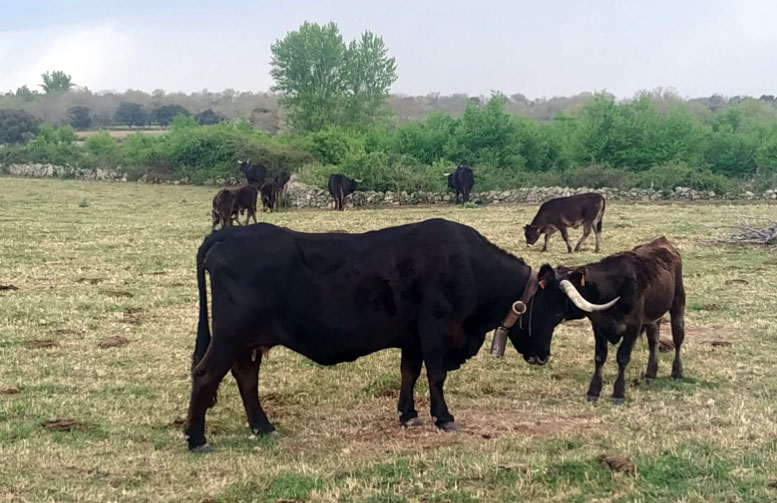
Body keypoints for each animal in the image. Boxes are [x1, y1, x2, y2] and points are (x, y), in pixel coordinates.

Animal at [184, 218, 540, 451]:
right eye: (550, 304)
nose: (543, 356)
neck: (469, 263)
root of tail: (231, 233)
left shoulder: (412, 337)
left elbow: (409, 373)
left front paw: (408, 415)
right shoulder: (436, 330)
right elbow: (436, 376)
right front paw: (444, 417)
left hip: (248, 341)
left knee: (246, 376)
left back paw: (263, 427)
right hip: (230, 336)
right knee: (206, 374)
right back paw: (196, 439)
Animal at [516, 237, 685, 404]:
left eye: (555, 297)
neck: (614, 288)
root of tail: (663, 242)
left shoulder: (633, 327)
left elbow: (623, 357)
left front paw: (618, 393)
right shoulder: (598, 326)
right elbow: (600, 357)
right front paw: (593, 391)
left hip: (678, 304)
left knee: (678, 338)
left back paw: (677, 373)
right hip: (653, 318)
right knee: (653, 341)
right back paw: (650, 375)